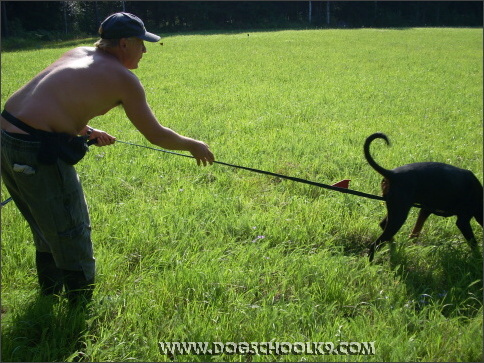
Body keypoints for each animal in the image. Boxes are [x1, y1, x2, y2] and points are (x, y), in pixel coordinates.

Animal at [364, 133, 482, 262]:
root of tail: (392, 174)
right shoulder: (463, 221)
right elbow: (474, 243)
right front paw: (478, 259)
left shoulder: (425, 210)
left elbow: (415, 232)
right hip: (399, 214)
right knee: (375, 244)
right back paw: (371, 263)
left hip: (396, 208)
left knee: (383, 226)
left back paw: (393, 245)